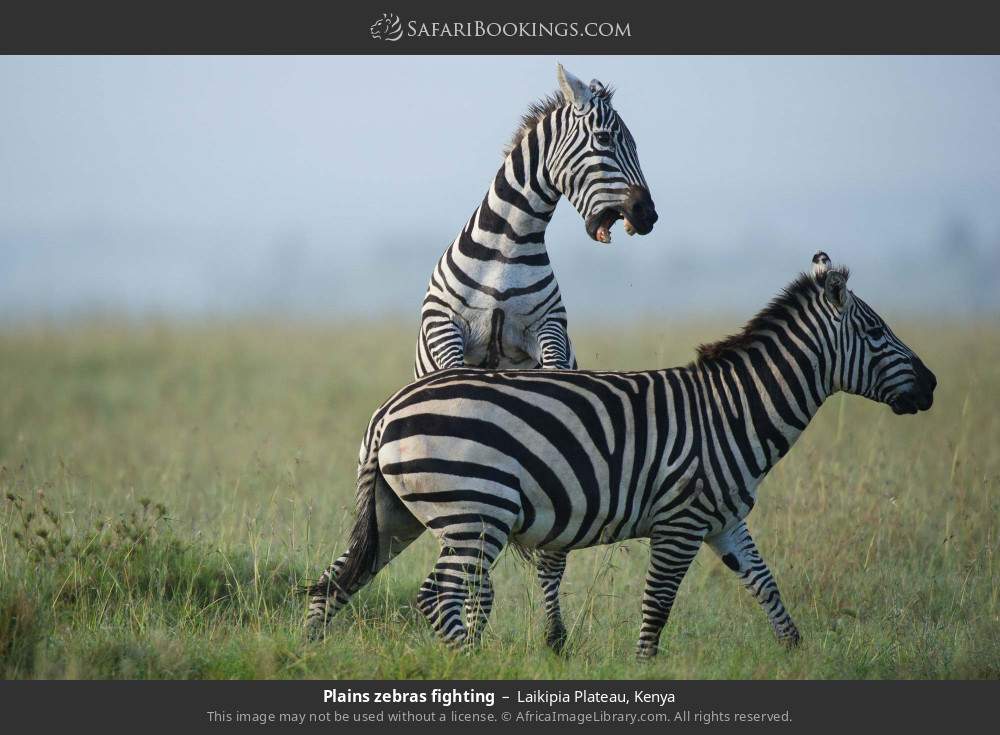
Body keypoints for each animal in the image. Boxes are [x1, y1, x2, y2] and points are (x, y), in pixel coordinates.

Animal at [306, 252, 936, 656]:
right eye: (877, 333)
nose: (932, 386)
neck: (734, 409)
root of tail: (388, 410)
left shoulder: (725, 519)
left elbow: (765, 585)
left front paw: (796, 654)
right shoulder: (682, 520)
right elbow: (658, 603)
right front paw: (646, 667)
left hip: (398, 514)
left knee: (333, 581)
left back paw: (311, 651)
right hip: (474, 512)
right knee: (436, 596)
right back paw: (469, 665)